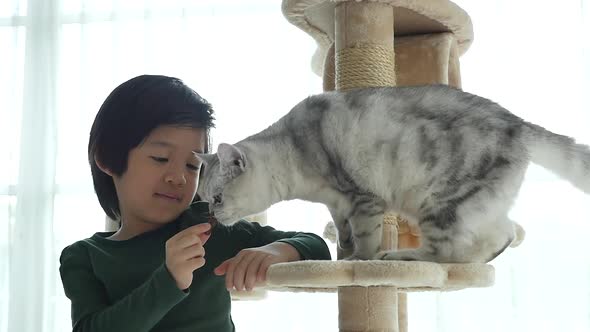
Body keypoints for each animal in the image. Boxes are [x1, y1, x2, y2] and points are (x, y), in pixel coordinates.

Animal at [198, 85, 590, 264]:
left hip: (438, 202)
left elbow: (364, 238)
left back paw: (400, 257)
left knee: (441, 253)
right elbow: (343, 233)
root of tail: (517, 123)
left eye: (217, 198)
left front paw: (359, 263)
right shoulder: (336, 204)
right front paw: (344, 254)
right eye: (202, 199)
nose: (212, 217)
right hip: (474, 205)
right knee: (498, 236)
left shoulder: (362, 199)